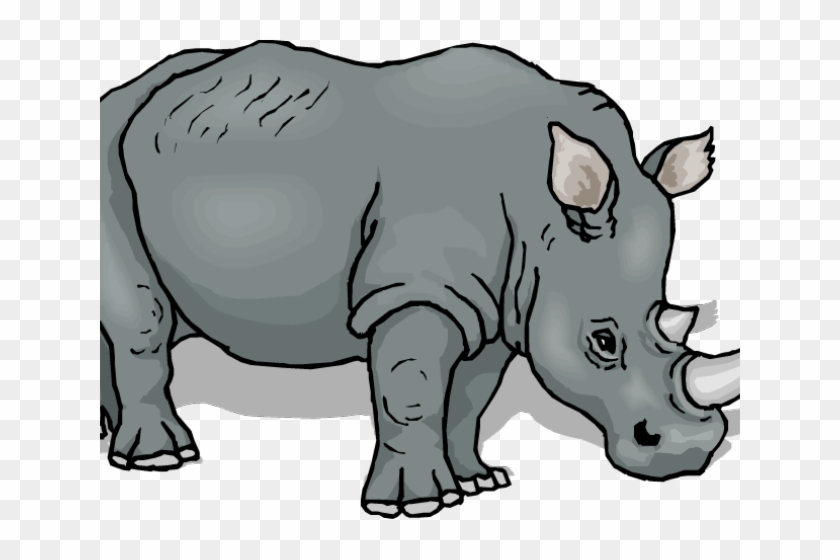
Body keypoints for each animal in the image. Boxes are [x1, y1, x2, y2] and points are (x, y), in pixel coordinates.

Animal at [101, 41, 740, 518]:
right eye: (603, 342)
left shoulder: (502, 306)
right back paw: (162, 459)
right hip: (108, 164)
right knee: (144, 319)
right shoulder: (418, 289)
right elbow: (413, 388)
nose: (687, 455)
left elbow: (467, 399)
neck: (540, 213)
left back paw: (111, 442)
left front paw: (478, 483)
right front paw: (416, 506)